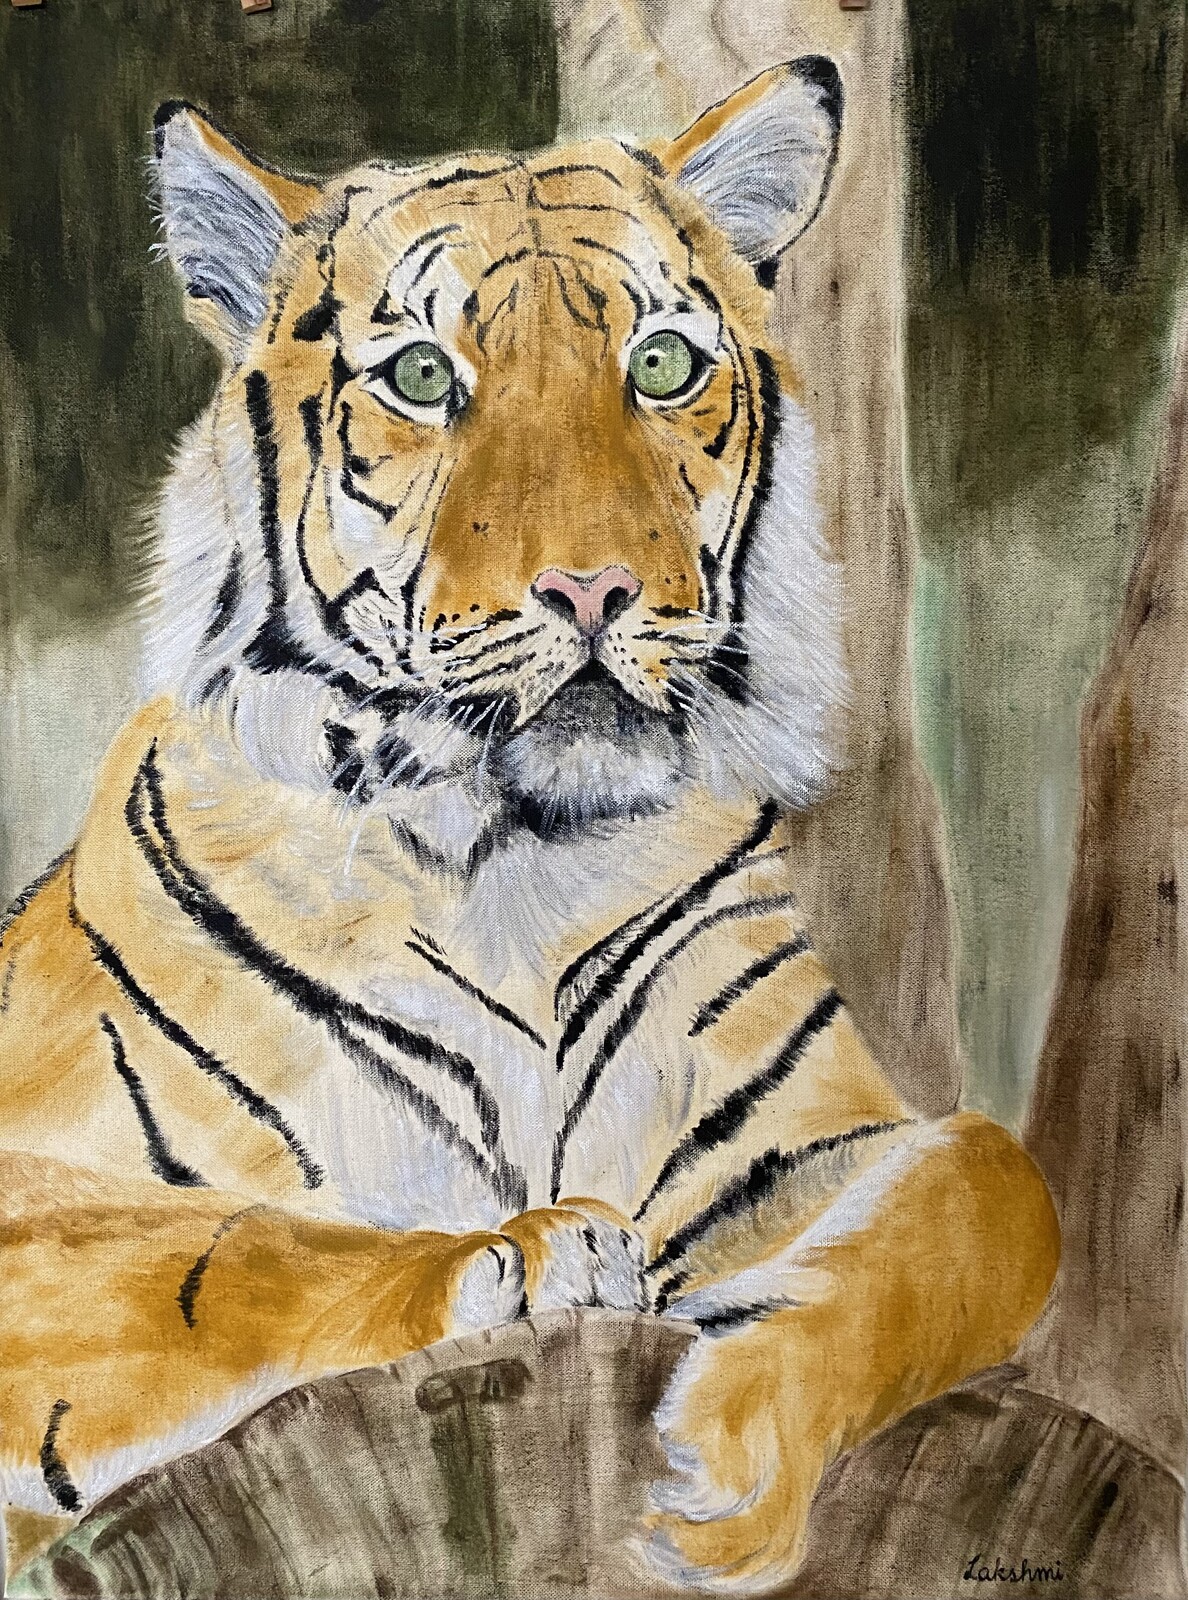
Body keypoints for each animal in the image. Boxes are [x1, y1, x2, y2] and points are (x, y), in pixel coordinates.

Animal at [0, 57, 1059, 1596]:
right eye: (421, 377)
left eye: (664, 366)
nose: (596, 590)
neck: (519, 855)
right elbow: (219, 1251)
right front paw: (518, 1259)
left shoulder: (817, 1136)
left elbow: (996, 1194)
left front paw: (730, 1449)